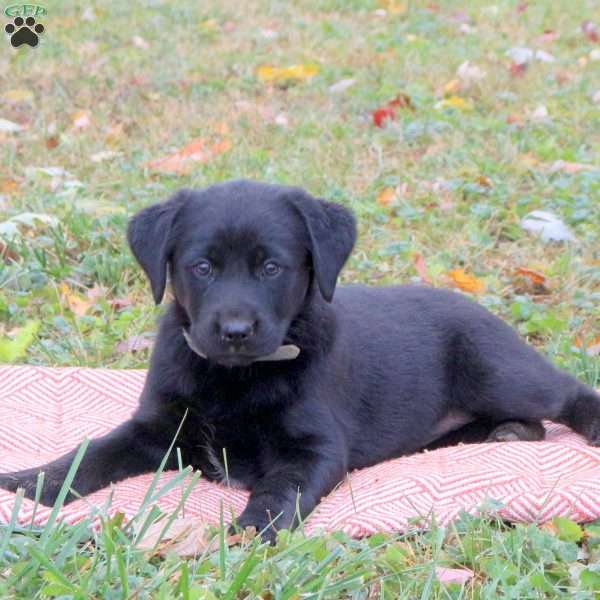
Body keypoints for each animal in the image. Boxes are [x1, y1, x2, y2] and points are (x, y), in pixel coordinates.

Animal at [1, 180, 600, 540]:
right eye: (201, 267)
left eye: (271, 268)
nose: (235, 331)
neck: (235, 377)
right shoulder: (157, 428)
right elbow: (88, 453)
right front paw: (29, 484)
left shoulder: (314, 447)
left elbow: (279, 490)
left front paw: (250, 530)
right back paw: (504, 434)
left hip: (496, 369)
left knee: (562, 391)